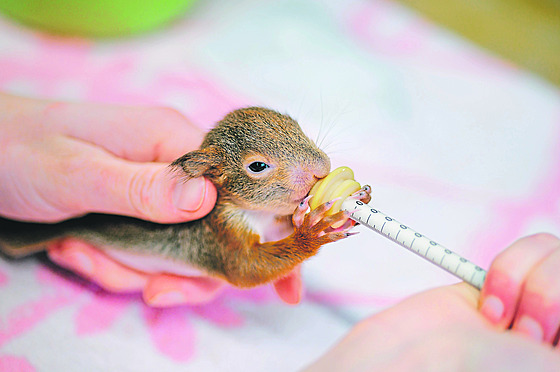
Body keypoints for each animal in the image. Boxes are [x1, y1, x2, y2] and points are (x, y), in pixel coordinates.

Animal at [1, 107, 372, 288]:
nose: (321, 169)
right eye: (257, 166)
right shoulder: (218, 234)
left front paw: (335, 209)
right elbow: (247, 268)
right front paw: (312, 231)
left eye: (294, 125)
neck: (254, 213)